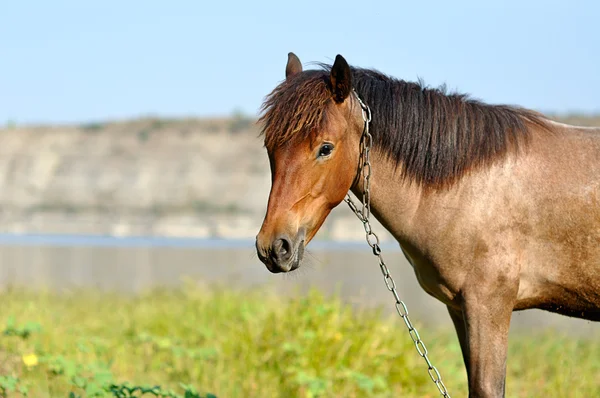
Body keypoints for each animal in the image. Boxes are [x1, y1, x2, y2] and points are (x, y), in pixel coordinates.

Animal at [254, 52, 600, 398]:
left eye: (325, 148)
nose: (274, 247)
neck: (467, 187)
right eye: (270, 147)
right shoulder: (460, 309)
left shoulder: (489, 307)